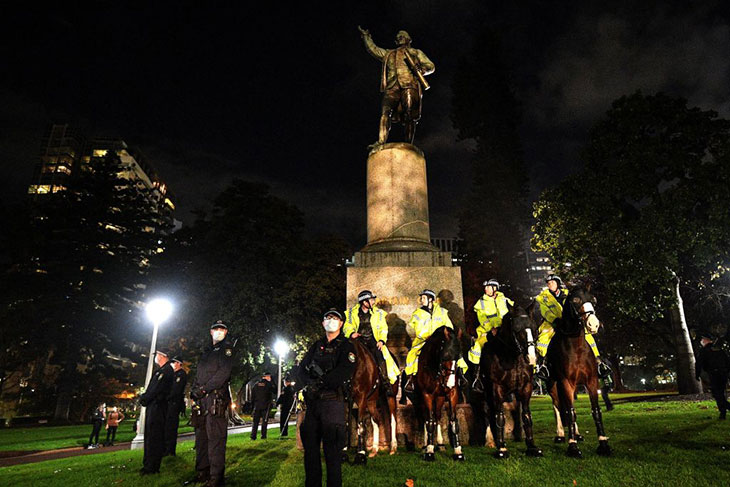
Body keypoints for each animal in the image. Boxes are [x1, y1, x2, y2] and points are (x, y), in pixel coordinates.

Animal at [342, 336, 398, 466]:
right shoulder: (346, 401)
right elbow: (346, 425)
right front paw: (344, 453)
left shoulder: (361, 399)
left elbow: (361, 426)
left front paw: (360, 455)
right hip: (372, 401)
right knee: (377, 420)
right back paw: (374, 449)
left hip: (390, 397)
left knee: (393, 419)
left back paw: (393, 448)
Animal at [412, 326, 464, 464]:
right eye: (445, 355)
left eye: (458, 358)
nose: (450, 383)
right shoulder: (427, 395)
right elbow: (429, 421)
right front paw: (429, 450)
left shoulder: (452, 394)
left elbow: (453, 421)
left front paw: (458, 451)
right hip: (421, 399)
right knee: (426, 417)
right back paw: (426, 445)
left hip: (440, 398)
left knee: (437, 416)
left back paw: (440, 444)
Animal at [478, 304, 540, 460]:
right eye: (516, 329)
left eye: (534, 328)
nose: (531, 358)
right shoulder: (497, 388)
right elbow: (499, 416)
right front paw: (501, 448)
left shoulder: (526, 388)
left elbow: (526, 415)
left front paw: (531, 446)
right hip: (485, 392)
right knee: (487, 411)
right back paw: (491, 441)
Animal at [544, 286, 612, 458]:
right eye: (575, 300)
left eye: (593, 299)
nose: (594, 324)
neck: (577, 347)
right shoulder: (565, 383)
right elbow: (569, 411)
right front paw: (572, 447)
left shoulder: (592, 382)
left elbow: (596, 411)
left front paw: (603, 444)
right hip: (553, 386)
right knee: (557, 407)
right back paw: (561, 435)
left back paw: (578, 434)